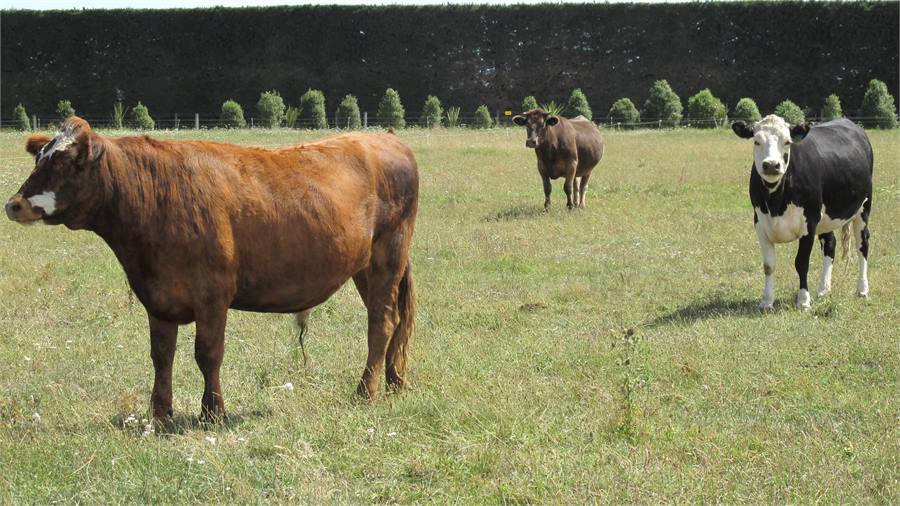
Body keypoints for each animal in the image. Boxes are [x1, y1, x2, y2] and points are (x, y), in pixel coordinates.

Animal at [5, 117, 419, 422]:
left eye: (65, 161)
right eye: (39, 158)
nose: (14, 204)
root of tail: (384, 137)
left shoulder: (213, 293)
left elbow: (208, 353)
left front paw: (212, 412)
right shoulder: (158, 297)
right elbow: (161, 355)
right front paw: (160, 415)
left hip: (388, 254)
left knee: (381, 322)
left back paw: (366, 391)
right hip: (364, 266)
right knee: (395, 318)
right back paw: (395, 381)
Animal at [732, 115, 873, 310]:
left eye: (787, 142)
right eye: (756, 141)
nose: (771, 165)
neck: (776, 202)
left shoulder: (809, 223)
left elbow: (801, 263)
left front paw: (804, 301)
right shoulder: (760, 224)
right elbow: (768, 265)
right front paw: (767, 301)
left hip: (863, 208)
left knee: (862, 245)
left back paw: (862, 289)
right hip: (826, 218)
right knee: (830, 244)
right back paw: (824, 290)